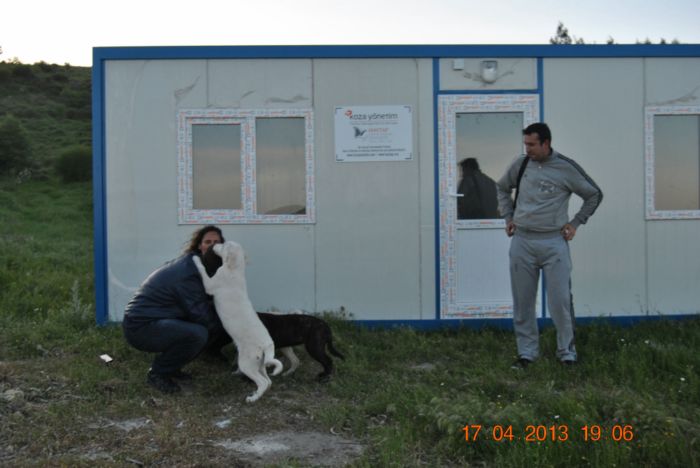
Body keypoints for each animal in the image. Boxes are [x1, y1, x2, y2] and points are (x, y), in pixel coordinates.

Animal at [191, 241, 282, 402]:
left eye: (223, 245)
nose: (214, 245)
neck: (235, 269)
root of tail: (267, 344)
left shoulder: (210, 284)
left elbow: (202, 269)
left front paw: (195, 259)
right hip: (260, 364)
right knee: (269, 381)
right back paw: (256, 395)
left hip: (247, 363)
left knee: (263, 382)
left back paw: (252, 399)